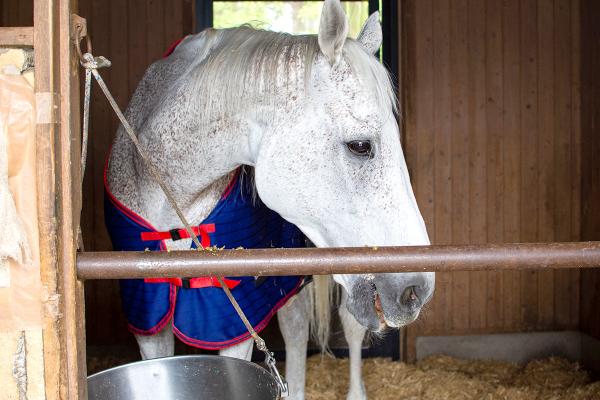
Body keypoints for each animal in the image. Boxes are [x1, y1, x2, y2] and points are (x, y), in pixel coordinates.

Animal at [105, 1, 436, 398]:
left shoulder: (233, 312)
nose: (417, 289)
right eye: (360, 145)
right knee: (295, 327)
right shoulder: (148, 313)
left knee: (345, 325)